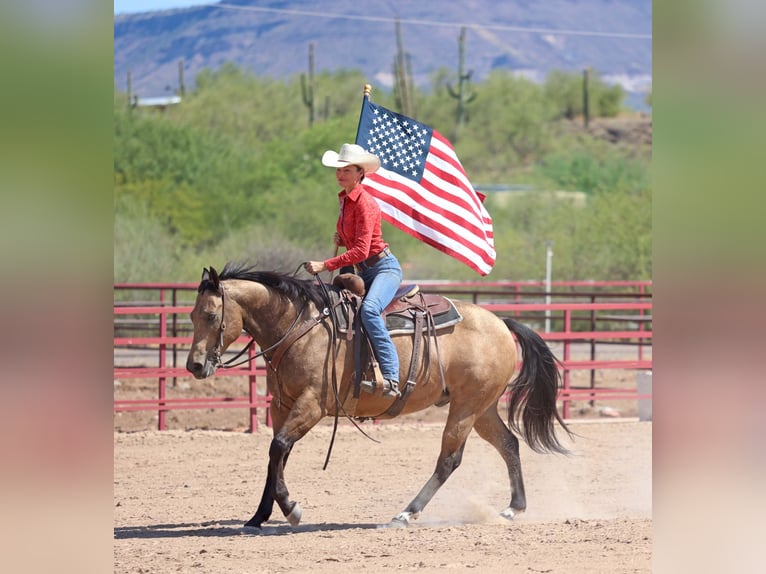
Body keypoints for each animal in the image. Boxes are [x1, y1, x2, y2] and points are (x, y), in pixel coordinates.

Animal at [184, 262, 568, 532]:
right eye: (191, 314)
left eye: (211, 314)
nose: (194, 365)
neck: (300, 327)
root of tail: (501, 323)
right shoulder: (282, 406)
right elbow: (276, 454)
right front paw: (258, 516)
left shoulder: (312, 405)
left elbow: (278, 448)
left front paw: (292, 510)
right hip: (481, 407)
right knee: (509, 444)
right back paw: (513, 508)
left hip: (466, 408)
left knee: (448, 460)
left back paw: (406, 513)